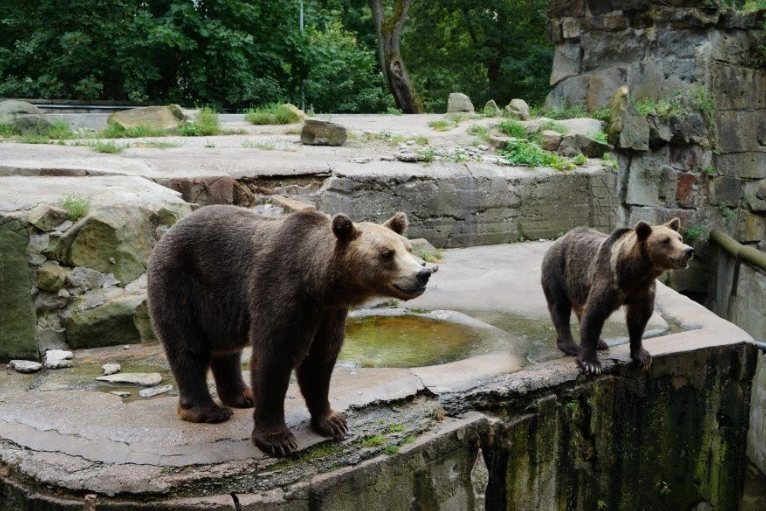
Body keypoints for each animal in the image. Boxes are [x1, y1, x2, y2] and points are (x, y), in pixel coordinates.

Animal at [146, 206, 432, 458]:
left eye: (408, 247)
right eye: (386, 253)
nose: (424, 272)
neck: (317, 283)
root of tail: (166, 235)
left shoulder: (329, 312)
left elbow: (320, 360)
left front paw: (333, 421)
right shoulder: (282, 292)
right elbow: (274, 357)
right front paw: (278, 440)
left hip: (218, 306)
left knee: (226, 349)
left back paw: (242, 396)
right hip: (181, 285)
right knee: (187, 348)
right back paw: (208, 411)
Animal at [540, 219, 696, 376]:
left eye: (679, 238)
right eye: (665, 240)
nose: (688, 250)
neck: (636, 273)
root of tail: (558, 239)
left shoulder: (643, 291)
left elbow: (639, 319)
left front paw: (643, 357)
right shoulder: (609, 281)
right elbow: (594, 314)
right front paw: (590, 363)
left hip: (578, 284)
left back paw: (600, 342)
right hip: (557, 271)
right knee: (559, 307)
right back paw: (570, 345)